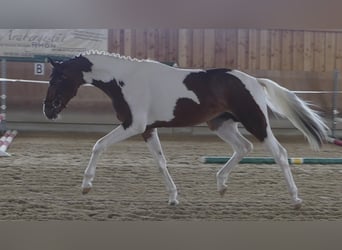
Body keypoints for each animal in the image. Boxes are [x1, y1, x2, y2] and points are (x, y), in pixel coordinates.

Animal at [43, 49, 328, 208]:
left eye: (58, 79)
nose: (48, 110)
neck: (124, 80)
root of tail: (255, 81)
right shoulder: (147, 129)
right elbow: (161, 163)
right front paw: (173, 198)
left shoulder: (133, 125)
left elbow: (98, 145)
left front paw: (86, 185)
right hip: (222, 124)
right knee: (243, 147)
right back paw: (221, 185)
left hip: (256, 122)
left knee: (279, 153)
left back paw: (295, 199)